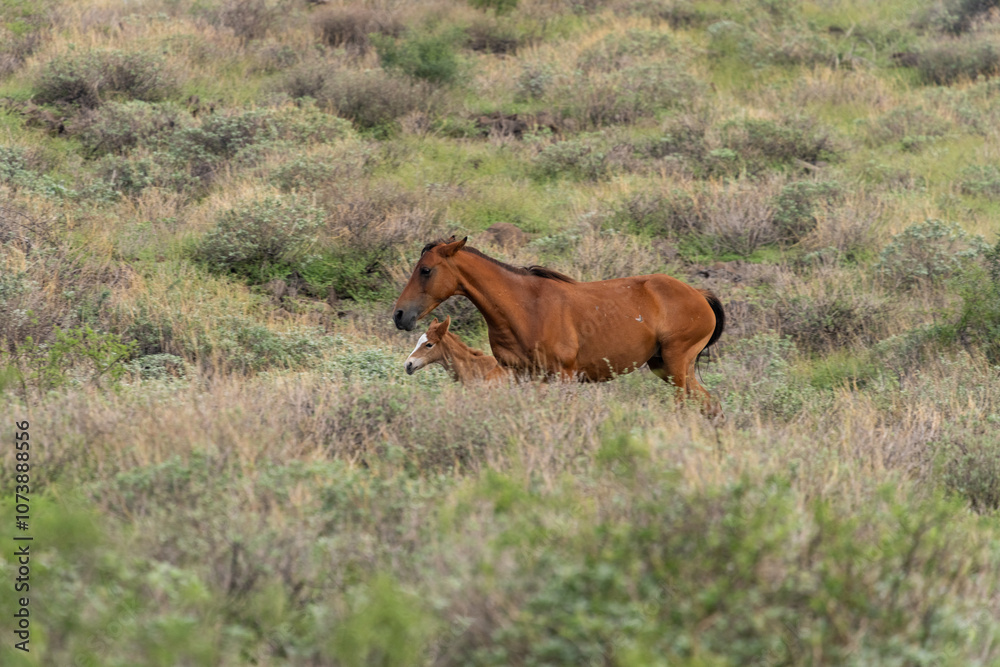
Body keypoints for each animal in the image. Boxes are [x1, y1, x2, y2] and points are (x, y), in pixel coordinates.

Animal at [392, 236, 725, 413]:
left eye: (425, 270)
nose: (399, 314)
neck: (526, 307)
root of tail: (699, 294)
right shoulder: (519, 376)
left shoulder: (562, 376)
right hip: (664, 366)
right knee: (710, 404)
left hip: (676, 364)